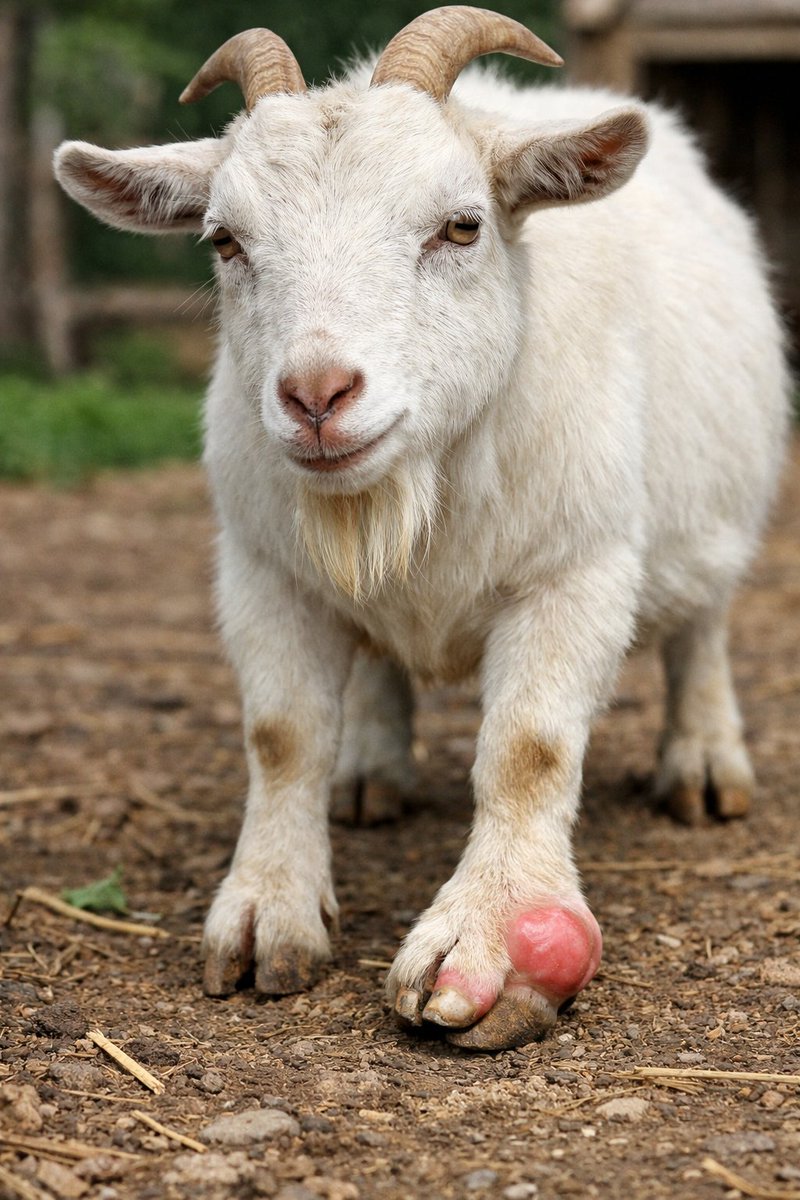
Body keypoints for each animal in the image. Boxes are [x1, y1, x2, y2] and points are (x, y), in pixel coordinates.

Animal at [55, 6, 789, 1050]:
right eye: (224, 241)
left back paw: (703, 763)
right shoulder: (264, 570)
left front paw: (485, 937)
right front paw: (267, 912)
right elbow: (283, 735)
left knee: (703, 628)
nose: (317, 396)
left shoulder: (575, 570)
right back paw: (372, 764)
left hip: (720, 511)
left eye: (462, 225)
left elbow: (527, 747)